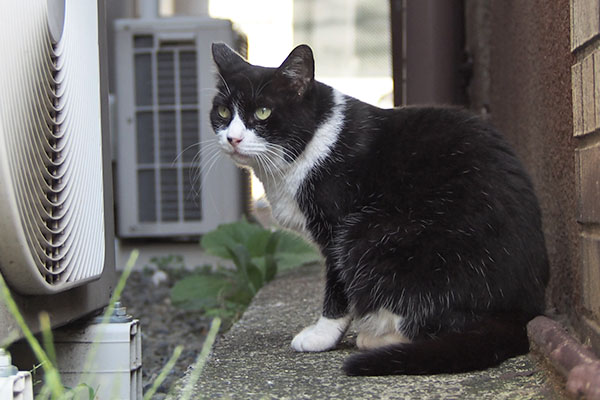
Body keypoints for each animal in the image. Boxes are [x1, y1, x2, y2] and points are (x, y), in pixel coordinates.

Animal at [207, 43, 548, 376]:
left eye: (263, 112)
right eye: (223, 111)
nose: (232, 138)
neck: (312, 143)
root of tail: (523, 311)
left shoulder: (337, 230)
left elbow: (338, 288)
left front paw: (321, 335)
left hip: (372, 235)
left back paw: (377, 339)